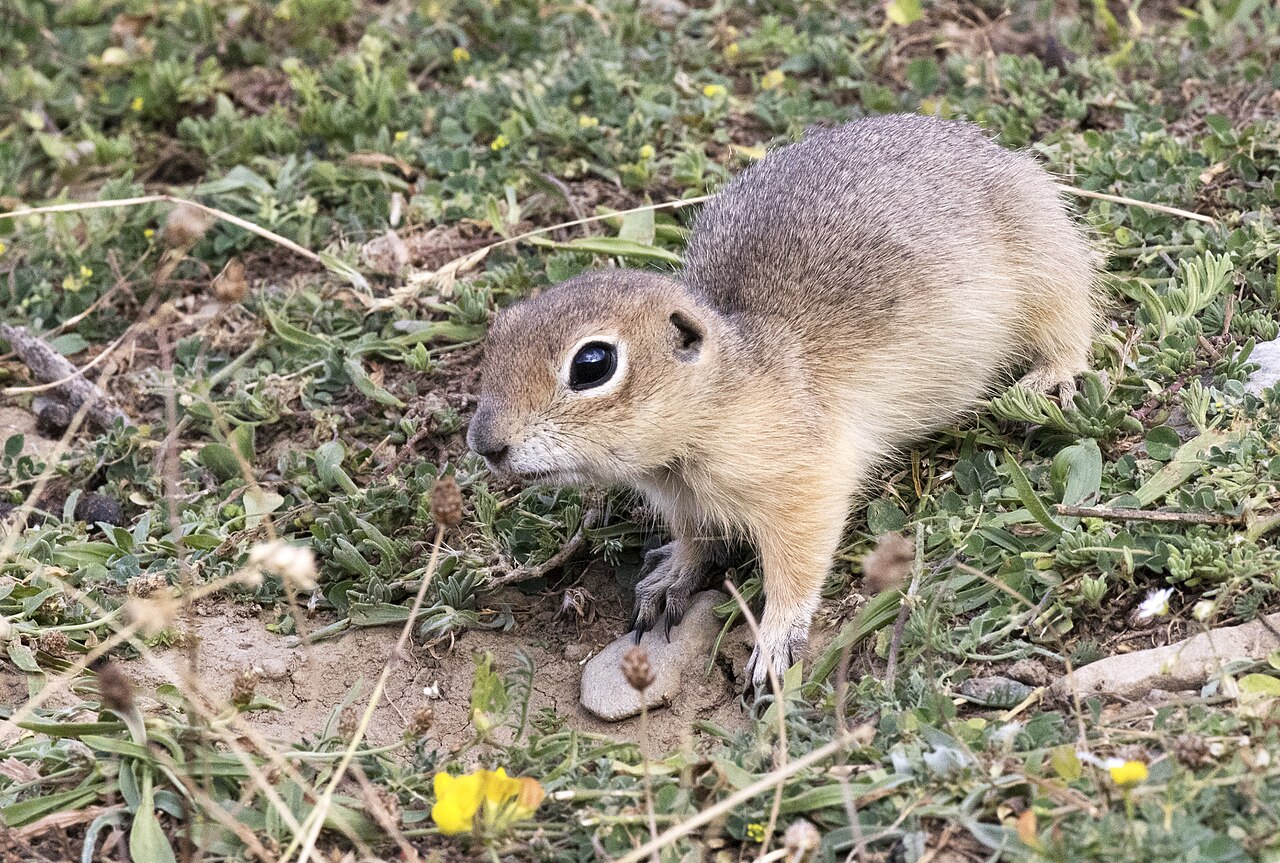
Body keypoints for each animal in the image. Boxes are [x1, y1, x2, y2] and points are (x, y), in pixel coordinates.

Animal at [467, 113, 1100, 689]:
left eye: (593, 363)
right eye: (498, 332)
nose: (483, 444)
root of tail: (991, 147)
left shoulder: (803, 482)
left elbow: (796, 565)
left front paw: (775, 641)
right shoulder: (684, 499)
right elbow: (695, 539)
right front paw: (670, 576)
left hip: (1048, 268)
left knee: (1073, 325)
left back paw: (1052, 379)